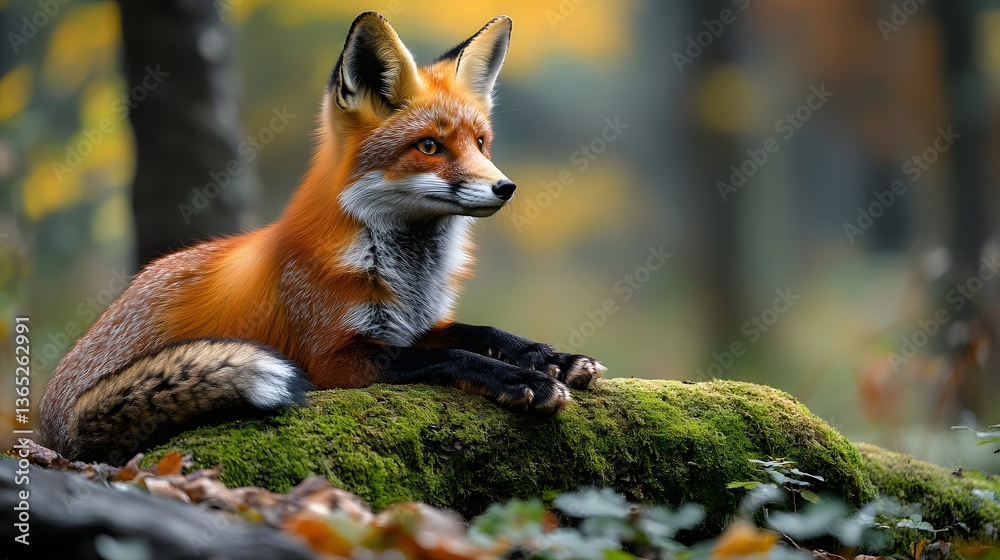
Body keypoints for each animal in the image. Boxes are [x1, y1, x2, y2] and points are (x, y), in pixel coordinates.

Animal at [38, 12, 605, 465]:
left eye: (481, 143)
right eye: (430, 147)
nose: (505, 187)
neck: (405, 273)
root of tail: (48, 425)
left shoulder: (408, 326)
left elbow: (480, 332)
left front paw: (551, 358)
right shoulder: (336, 358)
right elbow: (455, 358)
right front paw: (524, 381)